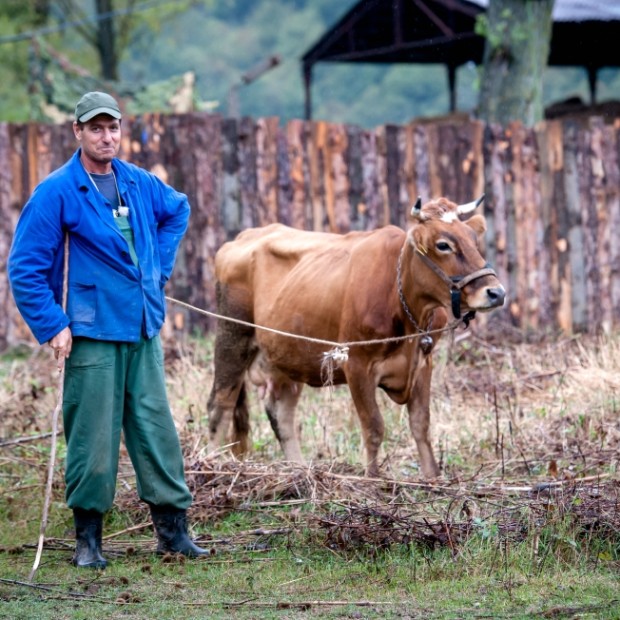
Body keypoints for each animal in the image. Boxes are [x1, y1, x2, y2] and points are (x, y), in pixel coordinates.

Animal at [206, 196, 506, 478]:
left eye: (474, 240)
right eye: (443, 245)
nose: (496, 292)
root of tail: (243, 237)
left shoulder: (423, 364)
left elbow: (421, 425)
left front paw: (433, 478)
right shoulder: (357, 365)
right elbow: (374, 427)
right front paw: (372, 480)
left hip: (287, 356)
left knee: (281, 412)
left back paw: (299, 472)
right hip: (232, 337)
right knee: (220, 405)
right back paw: (212, 465)